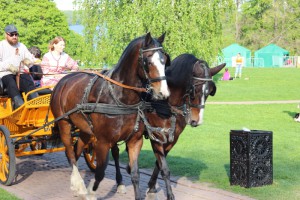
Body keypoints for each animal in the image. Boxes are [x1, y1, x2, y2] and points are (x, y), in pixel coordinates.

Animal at [50, 32, 170, 199]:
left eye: (164, 60)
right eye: (148, 61)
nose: (163, 93)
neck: (120, 97)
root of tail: (63, 80)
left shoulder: (135, 141)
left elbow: (135, 174)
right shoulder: (103, 141)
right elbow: (100, 173)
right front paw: (91, 193)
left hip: (85, 129)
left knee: (77, 148)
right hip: (64, 123)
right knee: (69, 151)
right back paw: (78, 184)